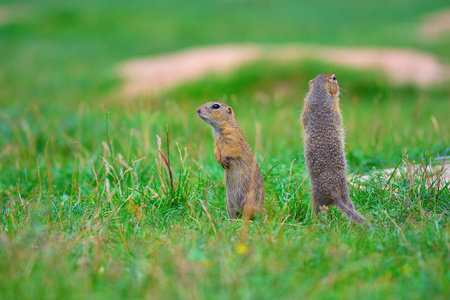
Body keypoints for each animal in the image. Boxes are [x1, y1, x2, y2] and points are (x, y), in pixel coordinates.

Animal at [300, 72, 364, 223]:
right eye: (334, 78)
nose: (336, 78)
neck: (320, 94)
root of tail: (334, 193)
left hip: (319, 197)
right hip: (344, 195)